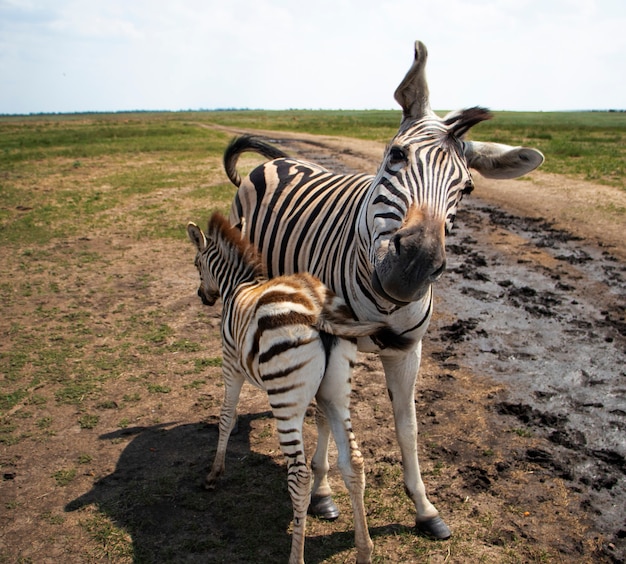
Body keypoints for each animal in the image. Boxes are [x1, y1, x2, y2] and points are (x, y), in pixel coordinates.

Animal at [185, 213, 410, 564]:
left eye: (197, 264)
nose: (202, 296)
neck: (238, 285)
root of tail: (319, 308)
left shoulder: (230, 364)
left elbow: (226, 417)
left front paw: (214, 473)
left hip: (286, 401)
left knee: (300, 476)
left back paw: (297, 556)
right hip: (337, 393)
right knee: (354, 463)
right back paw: (364, 550)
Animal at [223, 41, 540, 540]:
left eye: (467, 187)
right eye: (396, 156)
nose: (412, 268)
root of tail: (279, 159)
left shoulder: (409, 350)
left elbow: (407, 426)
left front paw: (425, 508)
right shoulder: (331, 341)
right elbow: (325, 417)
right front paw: (322, 492)